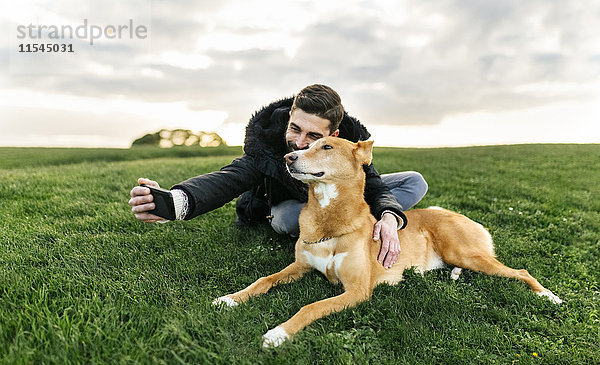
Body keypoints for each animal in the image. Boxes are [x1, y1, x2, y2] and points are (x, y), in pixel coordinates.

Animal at [212, 136, 564, 346]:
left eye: (326, 147)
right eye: (308, 143)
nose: (288, 156)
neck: (330, 218)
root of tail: (458, 214)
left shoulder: (357, 291)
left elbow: (310, 307)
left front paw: (278, 333)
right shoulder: (299, 266)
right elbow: (263, 280)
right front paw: (230, 298)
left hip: (465, 252)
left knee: (521, 272)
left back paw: (549, 297)